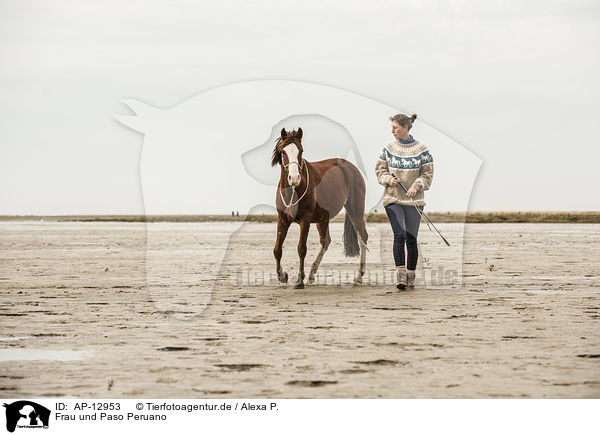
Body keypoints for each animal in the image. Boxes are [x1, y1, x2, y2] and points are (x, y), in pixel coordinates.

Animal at [270, 127, 366, 290]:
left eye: (301, 151)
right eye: (283, 152)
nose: (294, 178)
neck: (293, 191)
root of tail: (351, 168)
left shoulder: (305, 220)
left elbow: (301, 248)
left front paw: (299, 281)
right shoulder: (282, 219)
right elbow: (277, 250)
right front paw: (282, 276)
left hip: (356, 210)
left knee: (362, 237)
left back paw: (359, 277)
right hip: (323, 218)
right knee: (325, 242)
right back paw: (311, 275)